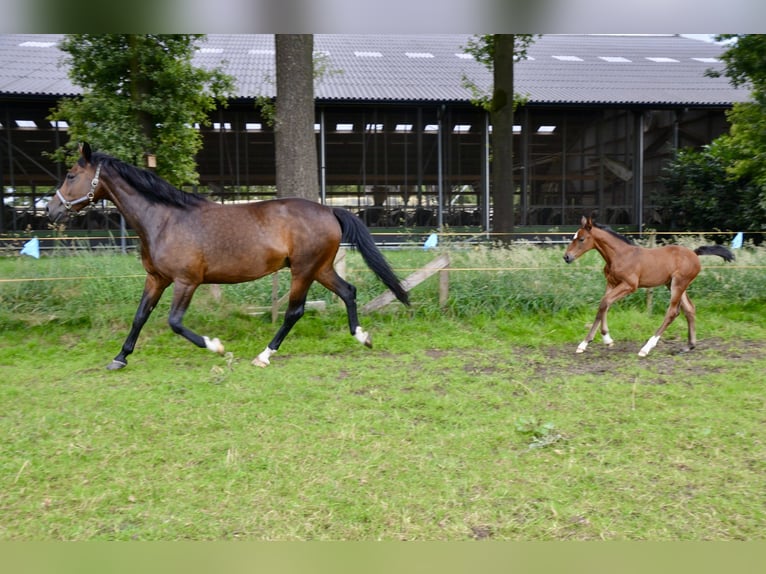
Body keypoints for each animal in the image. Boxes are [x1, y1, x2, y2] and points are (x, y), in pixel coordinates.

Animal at [47, 143, 412, 368]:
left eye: (70, 175)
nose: (51, 210)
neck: (163, 219)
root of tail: (329, 210)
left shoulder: (186, 281)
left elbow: (174, 322)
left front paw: (217, 347)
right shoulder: (157, 279)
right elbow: (140, 316)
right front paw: (120, 358)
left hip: (303, 271)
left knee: (295, 311)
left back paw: (264, 355)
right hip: (319, 268)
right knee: (349, 291)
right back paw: (362, 337)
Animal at [564, 216, 736, 358]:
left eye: (581, 239)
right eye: (574, 237)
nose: (566, 257)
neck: (619, 255)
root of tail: (694, 253)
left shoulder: (629, 285)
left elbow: (605, 302)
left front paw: (589, 342)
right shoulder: (611, 283)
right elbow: (604, 305)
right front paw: (603, 340)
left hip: (678, 284)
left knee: (673, 312)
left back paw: (646, 348)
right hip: (673, 284)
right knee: (689, 309)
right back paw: (689, 346)